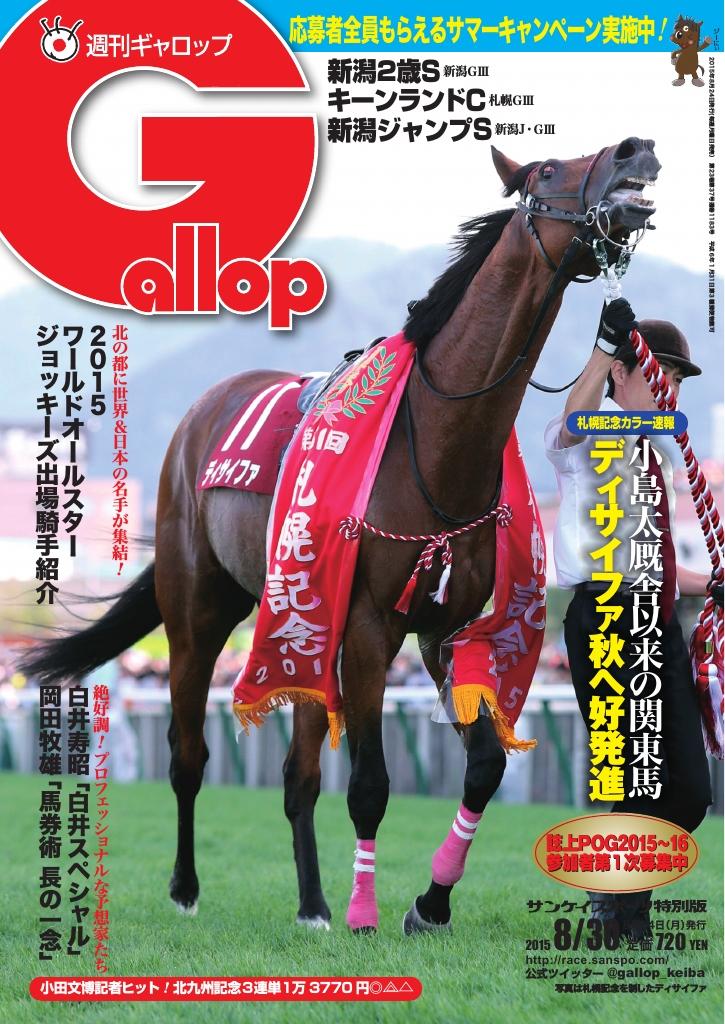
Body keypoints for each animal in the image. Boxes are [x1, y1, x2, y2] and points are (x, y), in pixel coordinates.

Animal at [19, 137, 660, 934]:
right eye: (545, 170)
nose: (637, 150)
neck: (436, 442)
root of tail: (203, 413)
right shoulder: (367, 627)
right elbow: (370, 784)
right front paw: (365, 913)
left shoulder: (442, 629)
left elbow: (483, 766)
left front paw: (428, 904)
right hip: (200, 612)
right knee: (188, 754)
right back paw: (188, 888)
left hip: (298, 623)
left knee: (297, 774)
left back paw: (311, 905)